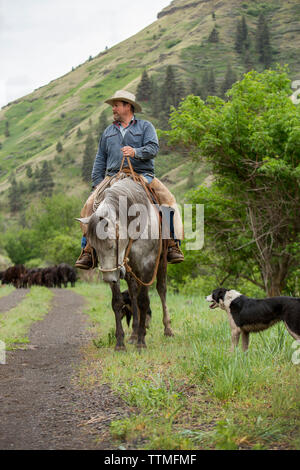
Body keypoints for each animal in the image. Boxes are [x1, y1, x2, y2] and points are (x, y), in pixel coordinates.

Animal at [78, 178, 173, 350]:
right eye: (93, 247)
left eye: (112, 245)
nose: (108, 278)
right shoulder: (114, 269)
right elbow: (117, 302)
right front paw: (120, 343)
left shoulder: (147, 266)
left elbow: (144, 301)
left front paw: (141, 342)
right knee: (133, 293)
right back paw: (133, 334)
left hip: (161, 262)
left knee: (161, 290)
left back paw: (167, 330)